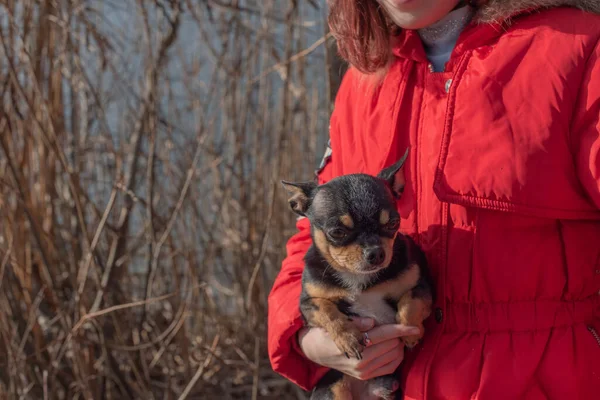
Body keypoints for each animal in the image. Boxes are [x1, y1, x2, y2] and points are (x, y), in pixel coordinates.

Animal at [284, 150, 434, 400]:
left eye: (393, 223)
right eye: (337, 232)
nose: (376, 252)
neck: (357, 278)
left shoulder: (423, 285)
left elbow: (410, 301)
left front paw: (411, 332)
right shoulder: (308, 303)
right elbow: (327, 311)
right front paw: (349, 337)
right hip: (335, 389)